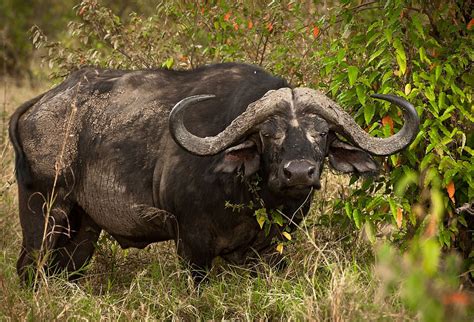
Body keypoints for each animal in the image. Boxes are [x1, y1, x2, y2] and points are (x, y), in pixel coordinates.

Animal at [9, 63, 418, 284]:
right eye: (268, 134)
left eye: (322, 133)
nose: (299, 173)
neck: (249, 196)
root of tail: (40, 104)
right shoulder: (193, 246)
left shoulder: (267, 252)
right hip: (43, 211)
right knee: (29, 268)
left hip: (83, 228)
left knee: (66, 270)